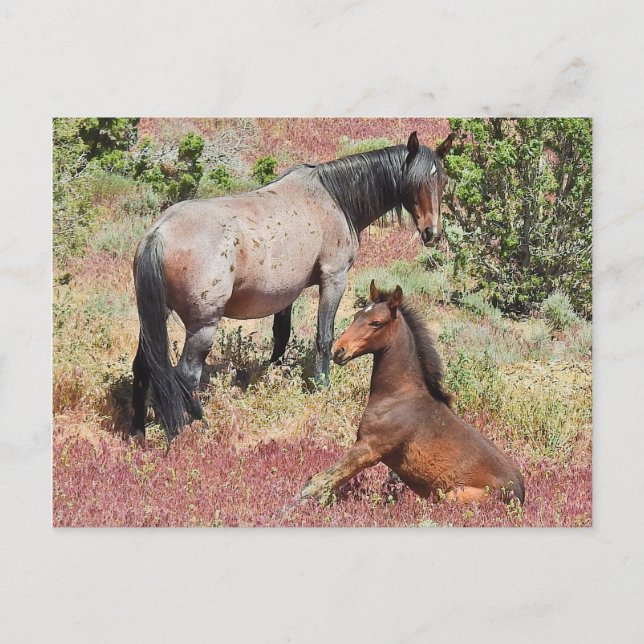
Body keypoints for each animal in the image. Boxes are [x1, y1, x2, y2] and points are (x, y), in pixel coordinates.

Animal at [131, 131, 456, 444]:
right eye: (415, 181)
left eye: (441, 180)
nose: (432, 233)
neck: (333, 198)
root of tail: (157, 234)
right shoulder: (334, 278)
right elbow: (324, 337)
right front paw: (322, 386)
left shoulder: (285, 294)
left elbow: (281, 335)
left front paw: (274, 372)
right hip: (203, 326)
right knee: (186, 375)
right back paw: (201, 424)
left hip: (155, 316)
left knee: (143, 365)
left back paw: (137, 431)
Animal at [300, 281, 525, 505]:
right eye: (356, 316)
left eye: (376, 323)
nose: (339, 350)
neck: (399, 396)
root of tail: (519, 494)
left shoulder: (369, 449)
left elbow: (318, 482)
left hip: (452, 495)